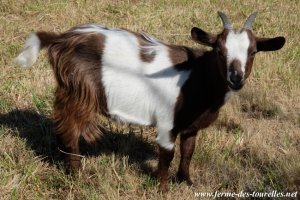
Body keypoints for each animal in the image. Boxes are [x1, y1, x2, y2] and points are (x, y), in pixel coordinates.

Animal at [15, 11, 284, 192]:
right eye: (219, 50)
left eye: (253, 52)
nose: (235, 78)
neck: (198, 76)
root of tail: (61, 38)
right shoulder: (167, 121)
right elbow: (167, 154)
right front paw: (163, 188)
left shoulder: (191, 125)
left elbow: (188, 151)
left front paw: (186, 182)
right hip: (79, 92)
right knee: (69, 128)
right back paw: (77, 174)